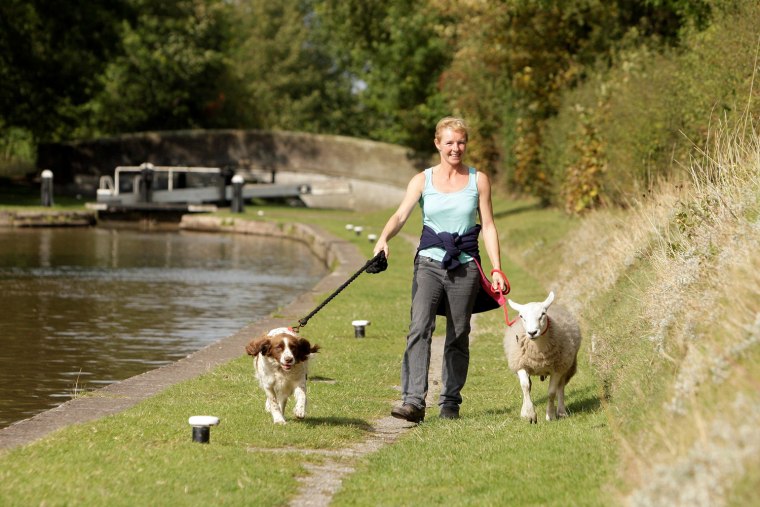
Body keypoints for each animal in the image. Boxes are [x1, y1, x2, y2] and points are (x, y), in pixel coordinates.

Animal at [504, 292, 580, 422]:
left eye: (543, 314)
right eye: (521, 316)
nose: (532, 333)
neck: (538, 352)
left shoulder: (557, 369)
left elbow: (551, 392)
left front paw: (550, 415)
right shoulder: (520, 364)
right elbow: (525, 386)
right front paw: (529, 414)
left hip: (566, 365)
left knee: (561, 387)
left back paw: (561, 411)